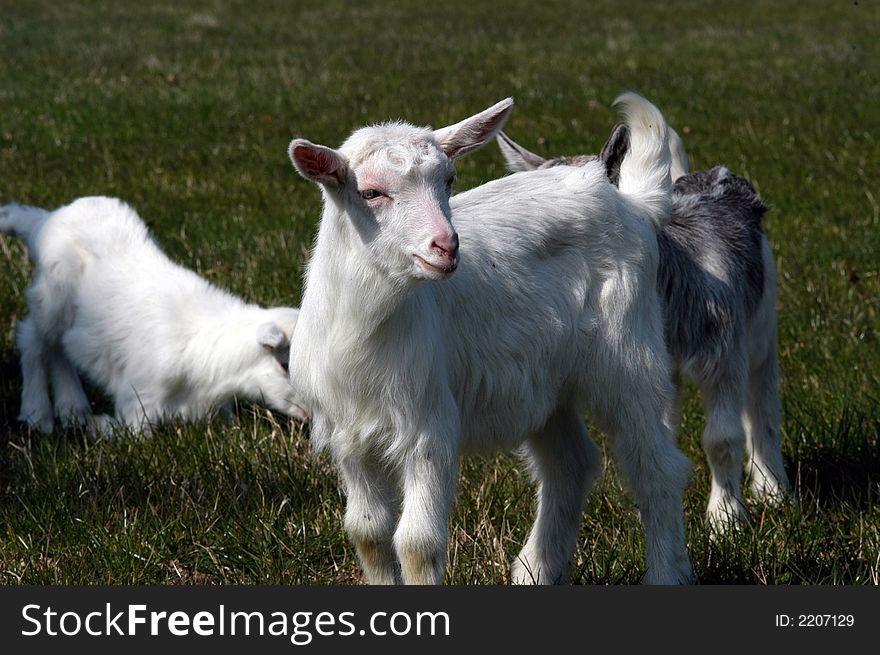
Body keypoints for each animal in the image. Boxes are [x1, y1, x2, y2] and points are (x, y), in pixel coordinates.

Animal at [0, 197, 306, 434]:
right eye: (285, 365)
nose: (312, 412)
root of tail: (43, 221)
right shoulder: (138, 398)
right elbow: (130, 433)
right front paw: (98, 426)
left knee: (59, 349)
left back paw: (73, 411)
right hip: (52, 297)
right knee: (33, 340)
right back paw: (38, 416)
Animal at [288, 95, 696, 588]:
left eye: (449, 180)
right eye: (370, 193)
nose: (446, 246)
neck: (364, 325)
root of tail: (633, 203)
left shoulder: (429, 423)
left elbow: (417, 544)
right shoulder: (348, 434)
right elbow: (368, 532)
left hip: (628, 353)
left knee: (655, 466)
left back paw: (666, 572)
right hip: (545, 381)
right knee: (571, 464)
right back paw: (535, 571)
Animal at [498, 118, 796, 532]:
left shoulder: (725, 354)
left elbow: (722, 438)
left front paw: (725, 520)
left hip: (761, 323)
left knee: (762, 399)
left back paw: (772, 488)